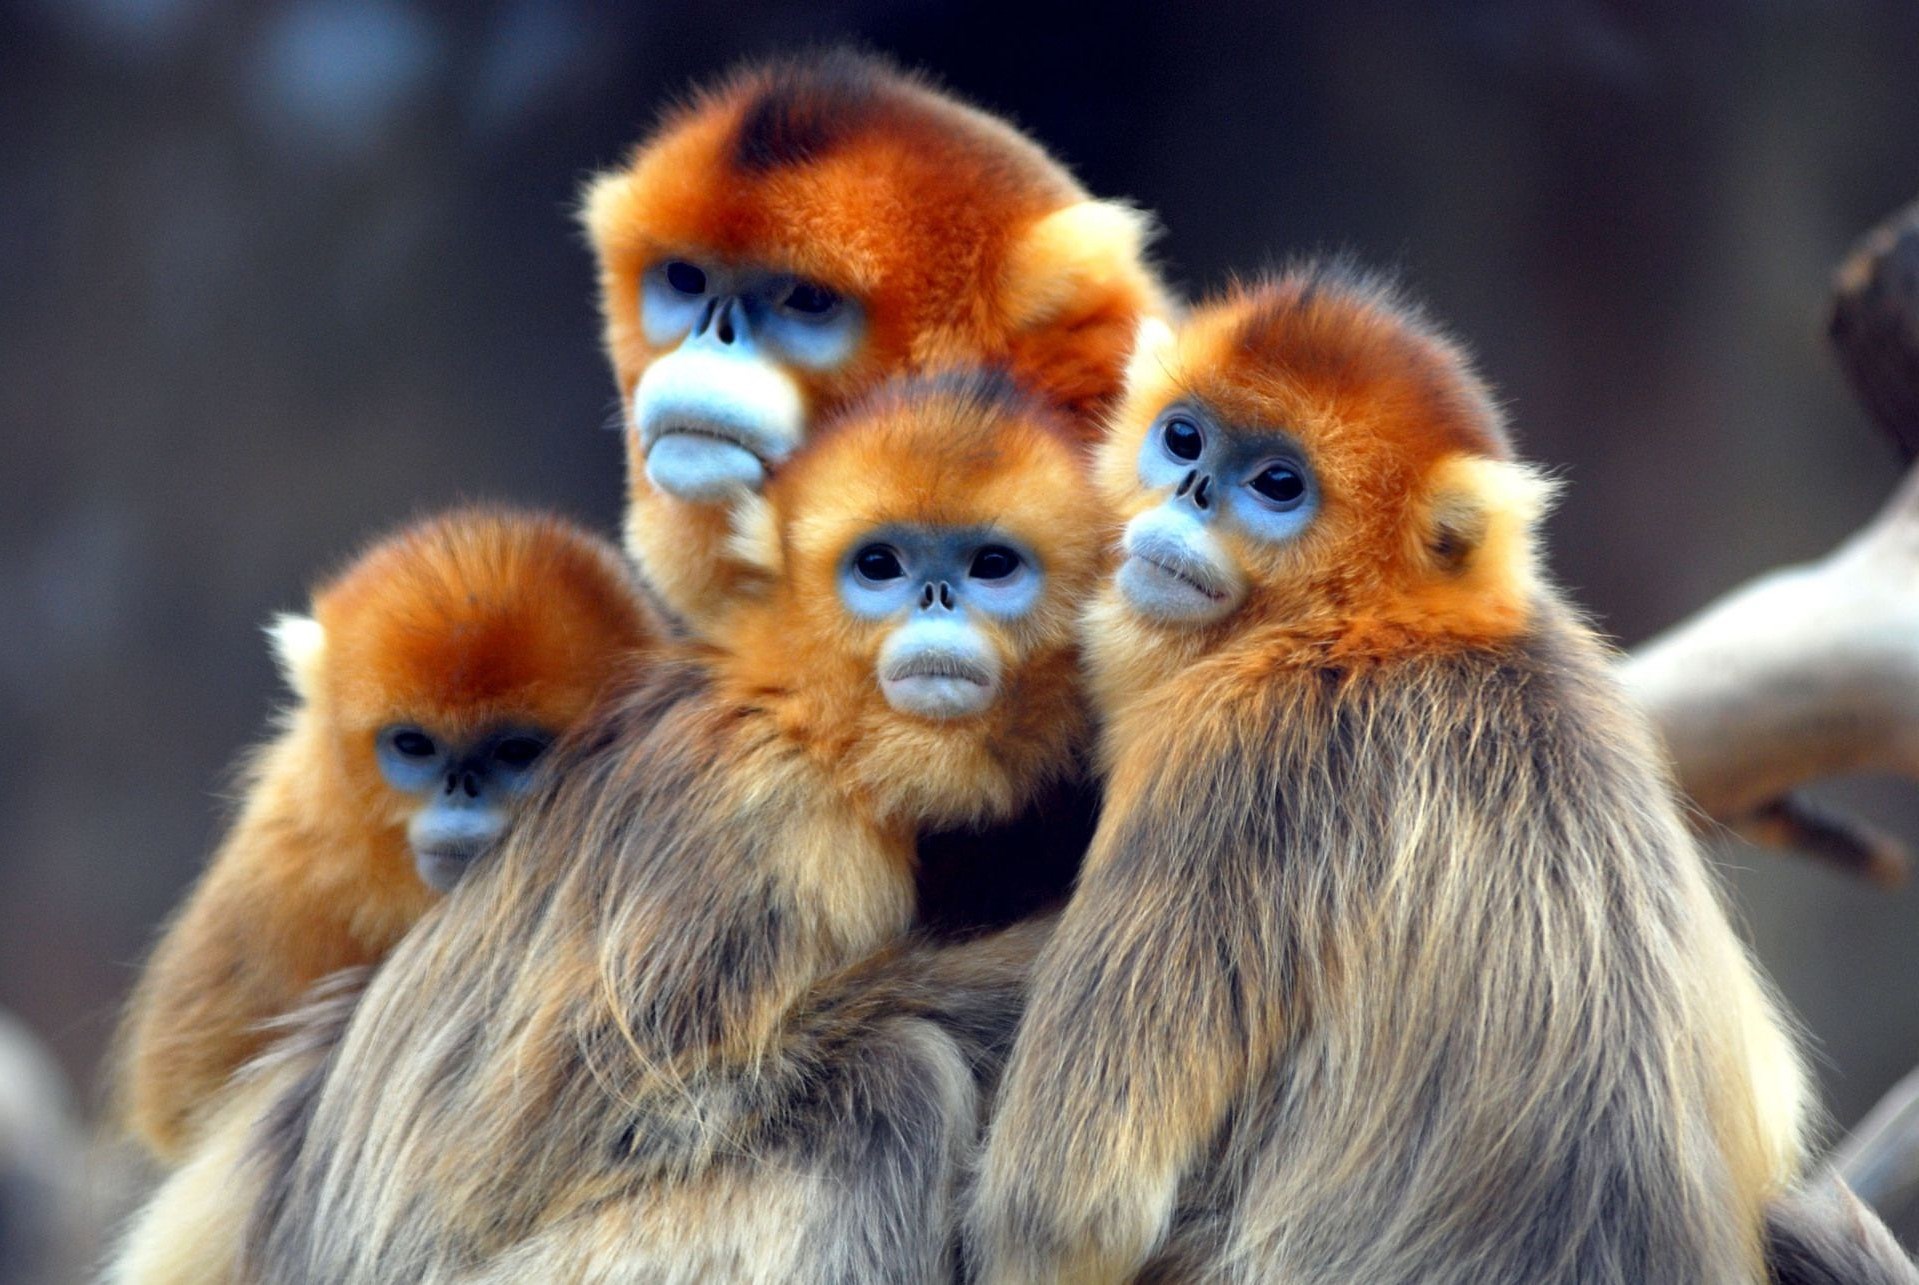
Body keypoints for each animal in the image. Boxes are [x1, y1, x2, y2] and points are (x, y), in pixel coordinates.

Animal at [966, 263, 1815, 1285]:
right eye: (1183, 438)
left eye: (1277, 485)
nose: (1193, 491)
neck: (1373, 634)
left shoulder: (1238, 753)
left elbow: (1067, 1210)